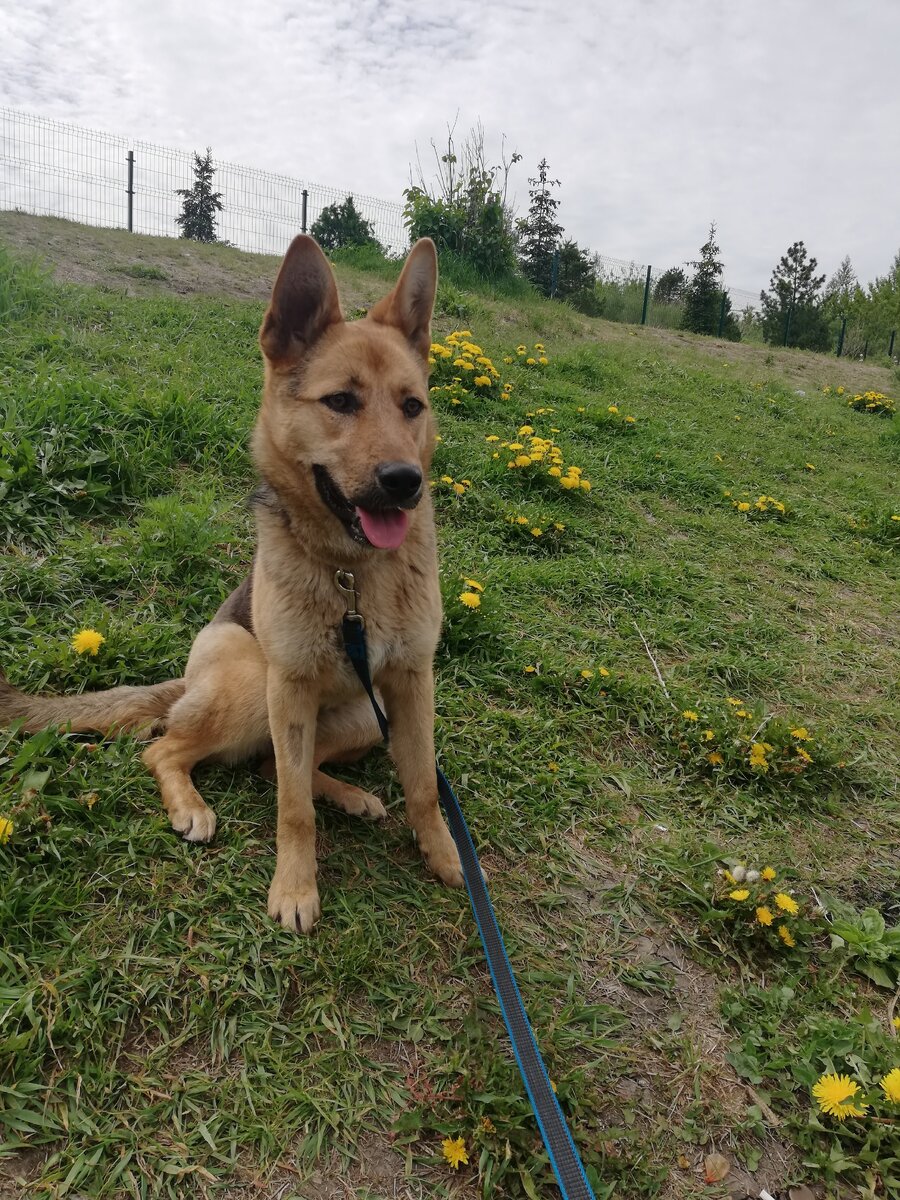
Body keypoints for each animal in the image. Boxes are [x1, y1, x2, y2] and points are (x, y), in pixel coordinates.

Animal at [0, 231, 465, 926]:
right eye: (340, 402)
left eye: (413, 407)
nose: (404, 482)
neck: (353, 576)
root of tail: (186, 680)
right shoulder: (290, 688)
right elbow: (293, 811)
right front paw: (295, 889)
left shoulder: (412, 683)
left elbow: (423, 788)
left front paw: (441, 854)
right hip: (253, 686)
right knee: (172, 751)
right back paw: (192, 807)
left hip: (365, 713)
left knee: (274, 765)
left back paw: (349, 795)